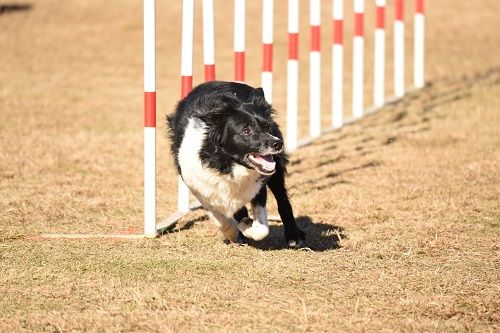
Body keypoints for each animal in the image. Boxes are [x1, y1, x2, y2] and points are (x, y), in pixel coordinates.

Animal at [168, 80, 304, 246]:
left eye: (267, 126)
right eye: (246, 130)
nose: (278, 144)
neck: (228, 165)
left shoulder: (258, 185)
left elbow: (261, 229)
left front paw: (246, 226)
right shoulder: (201, 188)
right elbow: (221, 220)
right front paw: (234, 233)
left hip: (276, 170)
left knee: (282, 199)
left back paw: (293, 235)